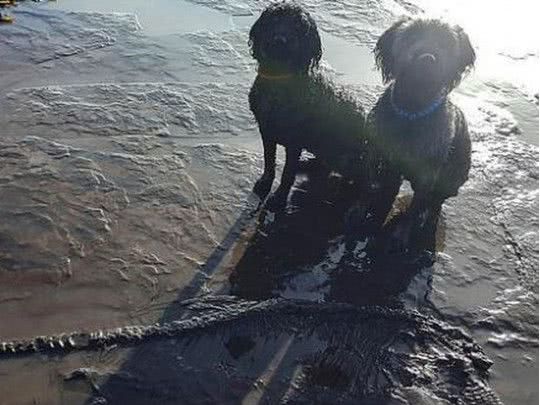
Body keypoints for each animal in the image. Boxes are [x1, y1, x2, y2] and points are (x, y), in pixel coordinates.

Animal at [248, 2, 368, 211]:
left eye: (299, 26)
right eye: (274, 18)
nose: (280, 40)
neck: (279, 81)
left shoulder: (295, 140)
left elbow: (287, 172)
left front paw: (278, 199)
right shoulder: (266, 130)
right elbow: (269, 161)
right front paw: (265, 183)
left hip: (347, 157)